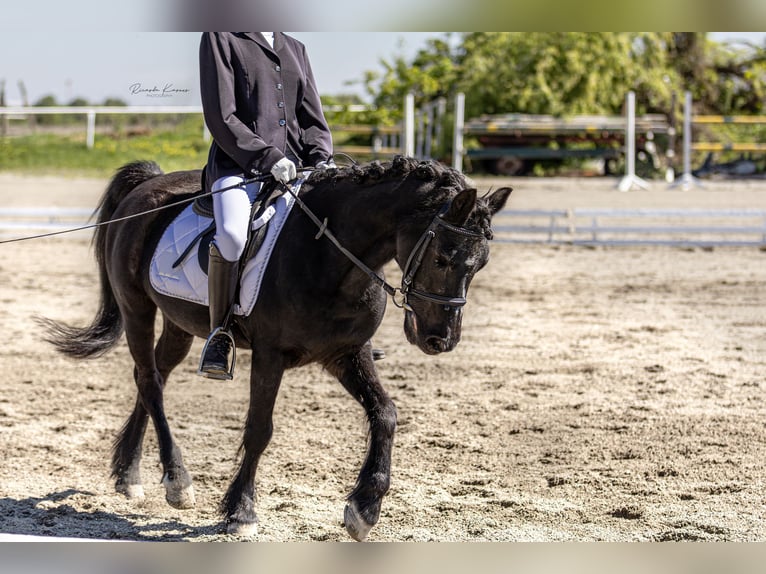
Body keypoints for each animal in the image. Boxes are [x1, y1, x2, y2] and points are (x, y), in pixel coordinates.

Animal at [40, 155, 510, 544]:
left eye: (482, 263)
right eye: (444, 256)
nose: (439, 339)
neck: (331, 256)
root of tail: (149, 184)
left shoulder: (347, 353)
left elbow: (386, 414)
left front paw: (364, 509)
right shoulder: (270, 355)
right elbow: (259, 429)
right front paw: (241, 512)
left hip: (180, 322)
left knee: (152, 375)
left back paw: (128, 474)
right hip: (136, 305)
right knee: (150, 381)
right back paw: (177, 481)